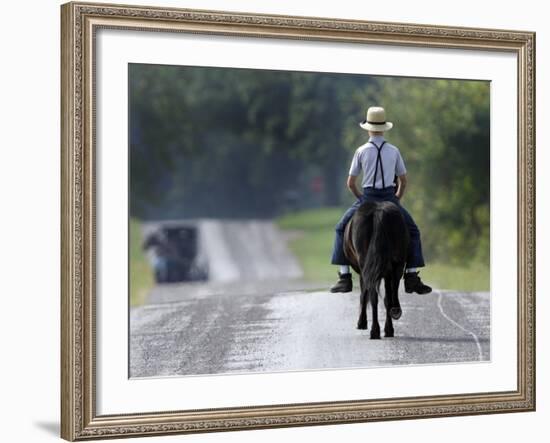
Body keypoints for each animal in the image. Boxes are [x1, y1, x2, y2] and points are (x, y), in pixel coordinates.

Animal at [344, 201, 410, 340]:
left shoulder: (364, 272)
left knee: (372, 295)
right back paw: (389, 326)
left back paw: (374, 330)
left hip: (366, 266)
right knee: (388, 298)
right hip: (396, 266)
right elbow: (386, 298)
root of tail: (378, 211)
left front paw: (362, 322)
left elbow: (364, 294)